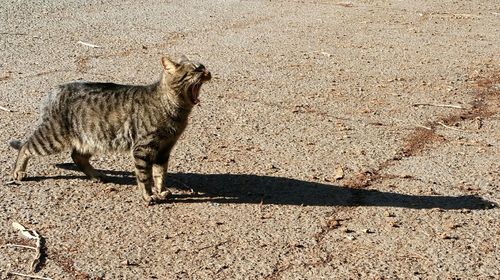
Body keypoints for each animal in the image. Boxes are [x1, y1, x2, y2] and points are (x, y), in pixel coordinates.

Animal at [8, 54, 211, 205]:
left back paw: (96, 175)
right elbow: (144, 176)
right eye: (196, 69)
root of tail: (53, 90)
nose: (208, 72)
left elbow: (160, 174)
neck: (175, 110)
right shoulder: (143, 149)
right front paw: (148, 196)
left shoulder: (164, 149)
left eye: (203, 67)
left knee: (77, 156)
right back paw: (19, 172)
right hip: (52, 138)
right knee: (26, 146)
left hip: (90, 139)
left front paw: (161, 191)